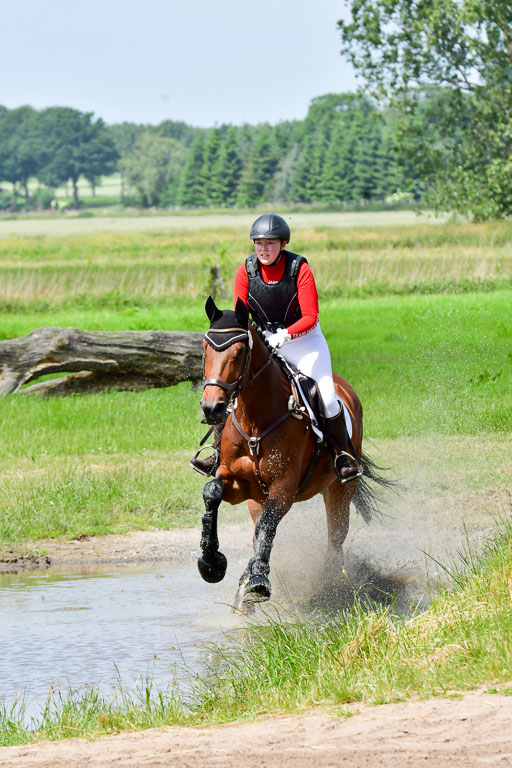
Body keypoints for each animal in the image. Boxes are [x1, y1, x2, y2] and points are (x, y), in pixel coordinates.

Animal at [196, 296, 387, 611]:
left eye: (239, 351)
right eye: (205, 348)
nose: (212, 408)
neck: (257, 420)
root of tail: (345, 389)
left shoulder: (284, 487)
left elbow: (269, 524)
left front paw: (258, 581)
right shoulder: (237, 481)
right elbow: (212, 493)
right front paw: (211, 563)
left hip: (339, 490)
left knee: (335, 537)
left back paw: (329, 587)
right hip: (256, 499)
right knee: (257, 529)